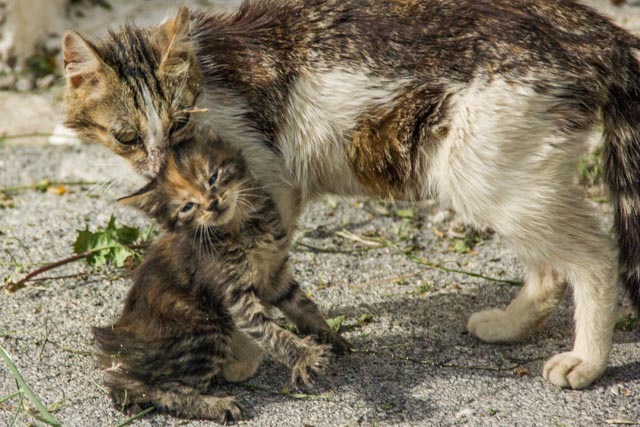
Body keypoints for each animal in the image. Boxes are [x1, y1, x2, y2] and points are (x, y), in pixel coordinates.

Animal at [61, 0, 640, 390]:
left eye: (182, 121)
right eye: (127, 136)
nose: (162, 161)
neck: (210, 69)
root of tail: (586, 25)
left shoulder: (269, 184)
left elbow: (250, 277)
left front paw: (248, 349)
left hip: (484, 171)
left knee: (595, 256)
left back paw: (586, 362)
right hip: (508, 176)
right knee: (548, 268)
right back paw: (507, 326)